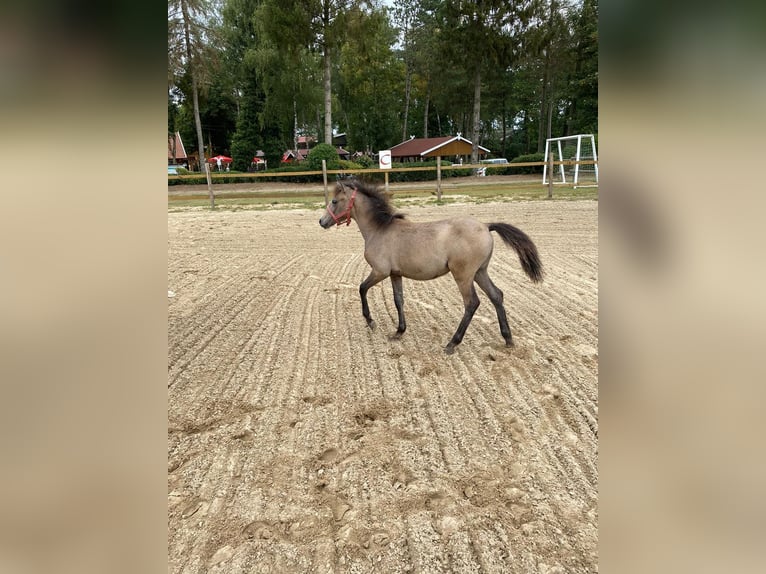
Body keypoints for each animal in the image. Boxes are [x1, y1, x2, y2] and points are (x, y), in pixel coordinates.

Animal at [319, 179, 543, 354]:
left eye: (335, 201)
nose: (322, 221)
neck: (380, 230)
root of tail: (486, 226)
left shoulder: (379, 271)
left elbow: (362, 288)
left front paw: (371, 321)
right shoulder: (395, 274)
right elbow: (398, 300)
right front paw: (399, 332)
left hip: (463, 275)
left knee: (472, 303)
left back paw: (452, 343)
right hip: (480, 272)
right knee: (497, 295)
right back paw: (508, 339)